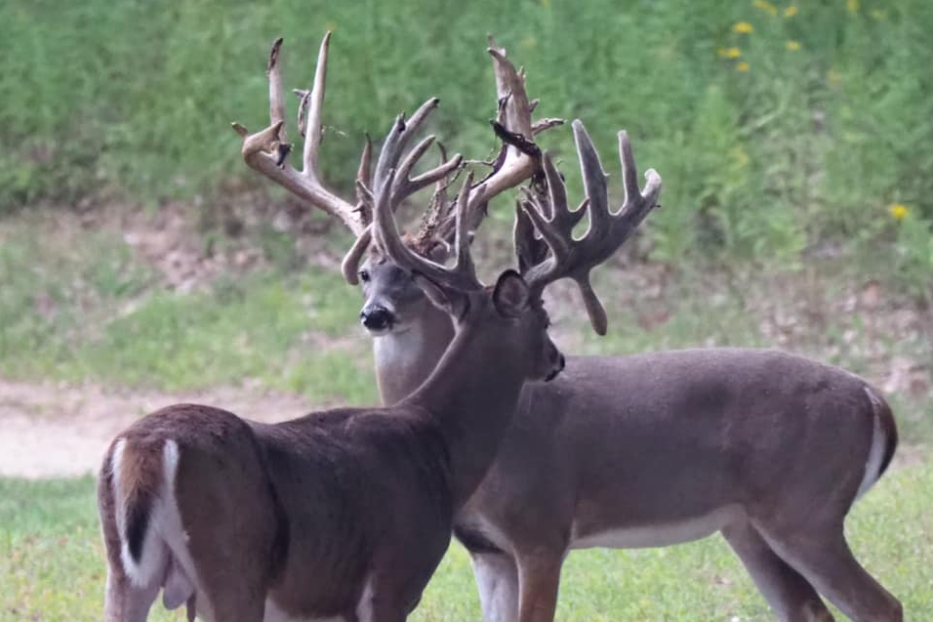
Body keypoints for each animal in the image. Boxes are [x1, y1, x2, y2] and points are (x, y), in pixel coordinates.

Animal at [237, 33, 900, 622]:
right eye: (367, 273)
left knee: (879, 604)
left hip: (804, 507)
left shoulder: (542, 526)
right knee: (810, 609)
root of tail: (874, 400)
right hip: (747, 525)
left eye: (412, 280)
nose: (374, 314)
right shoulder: (486, 550)